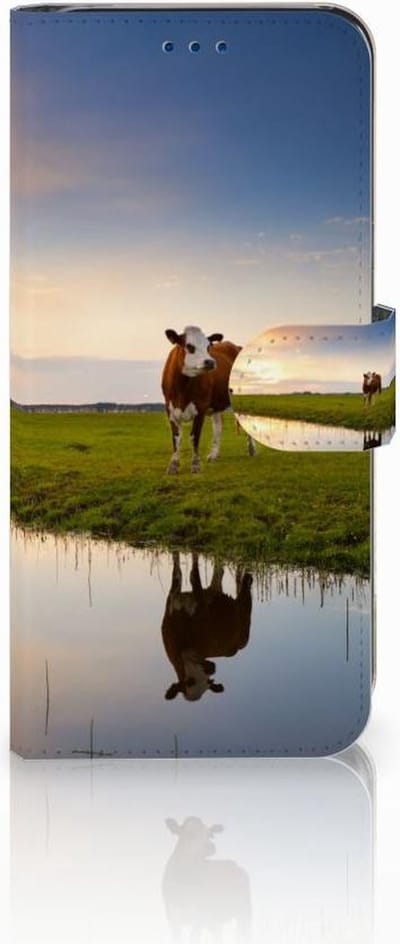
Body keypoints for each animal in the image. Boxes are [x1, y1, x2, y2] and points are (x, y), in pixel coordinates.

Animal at [161, 552, 253, 701]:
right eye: (189, 681)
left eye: (208, 681)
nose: (212, 668)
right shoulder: (172, 600)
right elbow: (177, 572)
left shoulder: (201, 606)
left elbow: (193, 575)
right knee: (219, 573)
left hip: (244, 630)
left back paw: (247, 577)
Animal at [162, 325, 255, 473]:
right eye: (189, 346)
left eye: (208, 347)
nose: (210, 362)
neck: (182, 389)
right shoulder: (170, 408)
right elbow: (176, 437)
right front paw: (173, 465)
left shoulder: (201, 407)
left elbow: (194, 436)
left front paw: (195, 465)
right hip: (215, 405)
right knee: (218, 426)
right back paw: (213, 454)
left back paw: (251, 449)